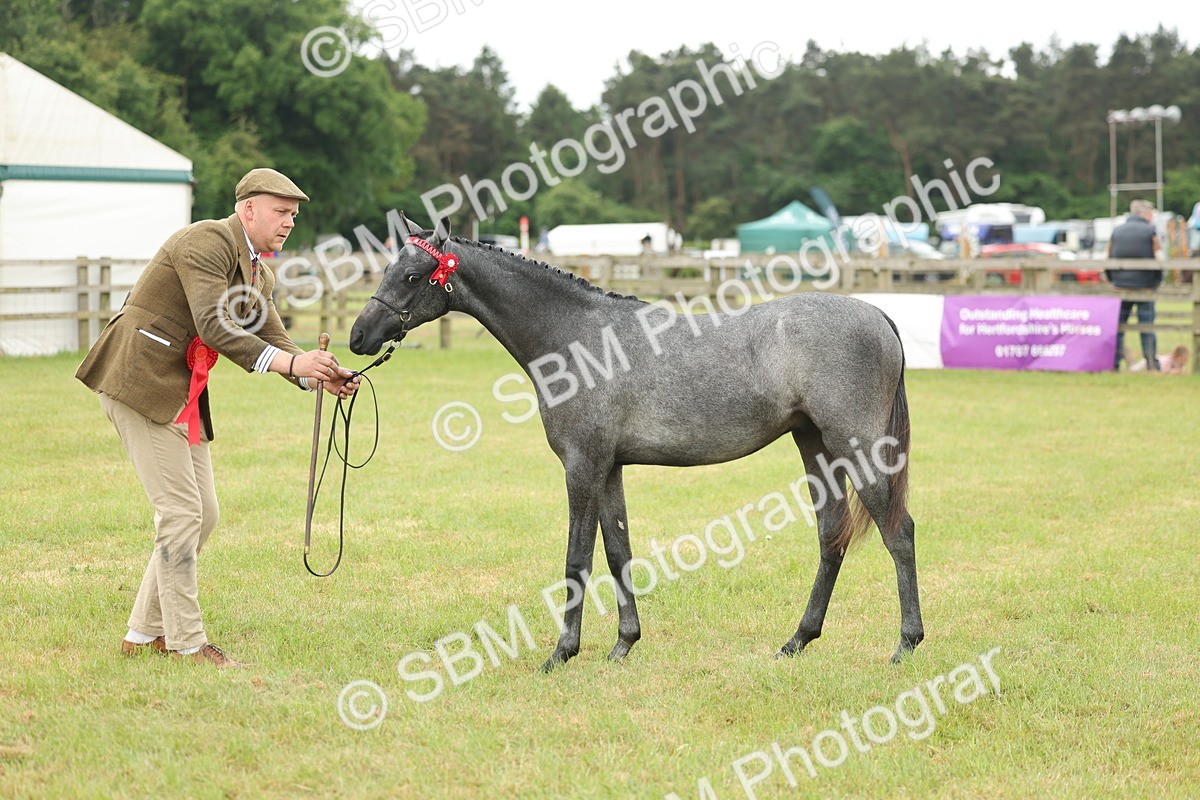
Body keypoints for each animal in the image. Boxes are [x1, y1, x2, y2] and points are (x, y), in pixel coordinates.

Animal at [349, 214, 923, 671]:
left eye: (412, 275)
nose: (358, 337)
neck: (576, 340)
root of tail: (878, 315)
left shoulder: (582, 466)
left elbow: (577, 559)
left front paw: (562, 652)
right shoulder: (609, 468)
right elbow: (618, 550)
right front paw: (624, 644)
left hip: (857, 448)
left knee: (898, 533)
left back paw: (905, 645)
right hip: (814, 446)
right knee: (831, 537)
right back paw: (797, 640)